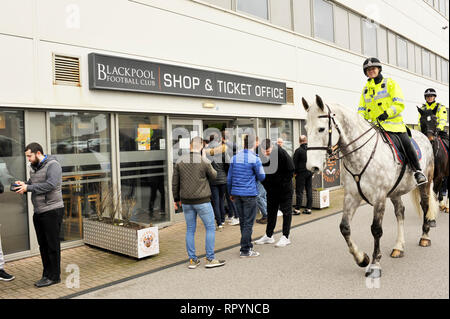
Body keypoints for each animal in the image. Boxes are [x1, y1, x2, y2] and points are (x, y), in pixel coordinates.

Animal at [302, 96, 436, 278]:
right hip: (395, 192)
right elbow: (344, 228)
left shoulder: (379, 198)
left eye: (321, 129)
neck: (361, 155)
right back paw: (398, 247)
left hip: (425, 183)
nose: (312, 167)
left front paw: (374, 264)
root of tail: (424, 136)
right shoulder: (351, 197)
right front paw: (362, 259)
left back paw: (425, 237)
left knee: (425, 205)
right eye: (306, 129)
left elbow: (376, 230)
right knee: (400, 212)